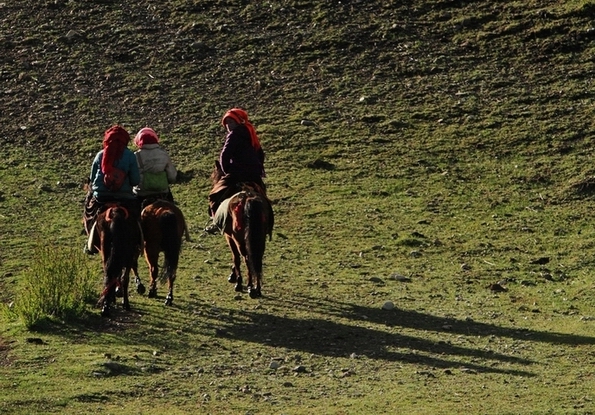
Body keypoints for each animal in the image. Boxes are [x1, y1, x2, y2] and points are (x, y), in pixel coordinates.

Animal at [210, 162, 274, 300]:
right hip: (259, 238)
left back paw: (249, 286)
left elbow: (236, 257)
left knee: (246, 258)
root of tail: (248, 199)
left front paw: (236, 279)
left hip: (239, 238)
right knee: (257, 258)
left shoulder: (229, 237)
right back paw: (257, 288)